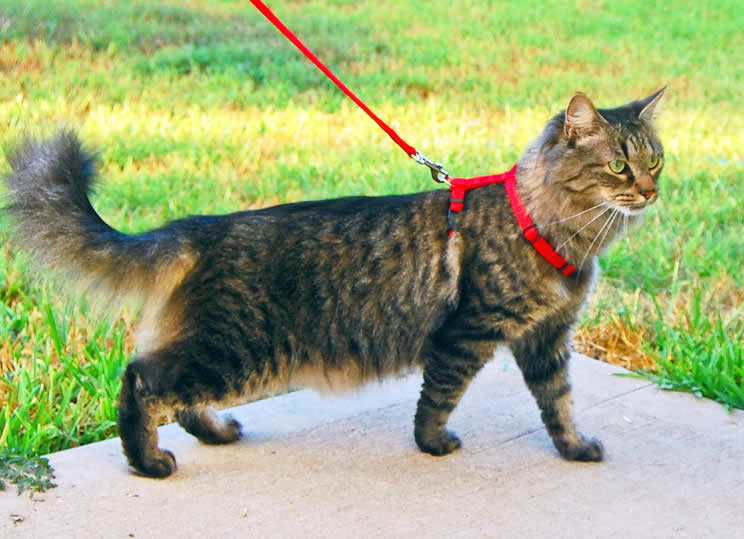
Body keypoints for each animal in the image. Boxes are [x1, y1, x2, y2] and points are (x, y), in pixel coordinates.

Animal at [0, 90, 664, 478]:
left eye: (654, 159)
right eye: (617, 166)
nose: (652, 190)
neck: (556, 231)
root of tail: (200, 227)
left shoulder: (545, 338)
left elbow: (559, 403)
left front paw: (574, 448)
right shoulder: (466, 335)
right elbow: (438, 398)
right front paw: (433, 444)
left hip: (223, 351)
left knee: (176, 394)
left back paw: (216, 433)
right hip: (238, 351)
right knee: (143, 380)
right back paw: (148, 462)